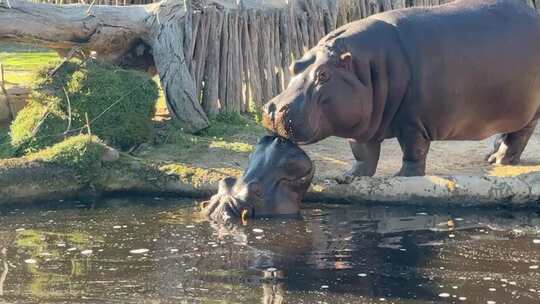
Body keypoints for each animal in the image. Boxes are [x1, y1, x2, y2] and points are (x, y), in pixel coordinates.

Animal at [262, 0, 540, 179]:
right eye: (294, 65)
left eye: (323, 75)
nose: (274, 109)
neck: (365, 69)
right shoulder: (362, 124)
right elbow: (362, 153)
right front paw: (349, 176)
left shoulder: (413, 121)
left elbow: (413, 150)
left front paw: (403, 176)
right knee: (510, 133)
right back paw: (491, 156)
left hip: (529, 109)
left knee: (520, 135)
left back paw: (501, 159)